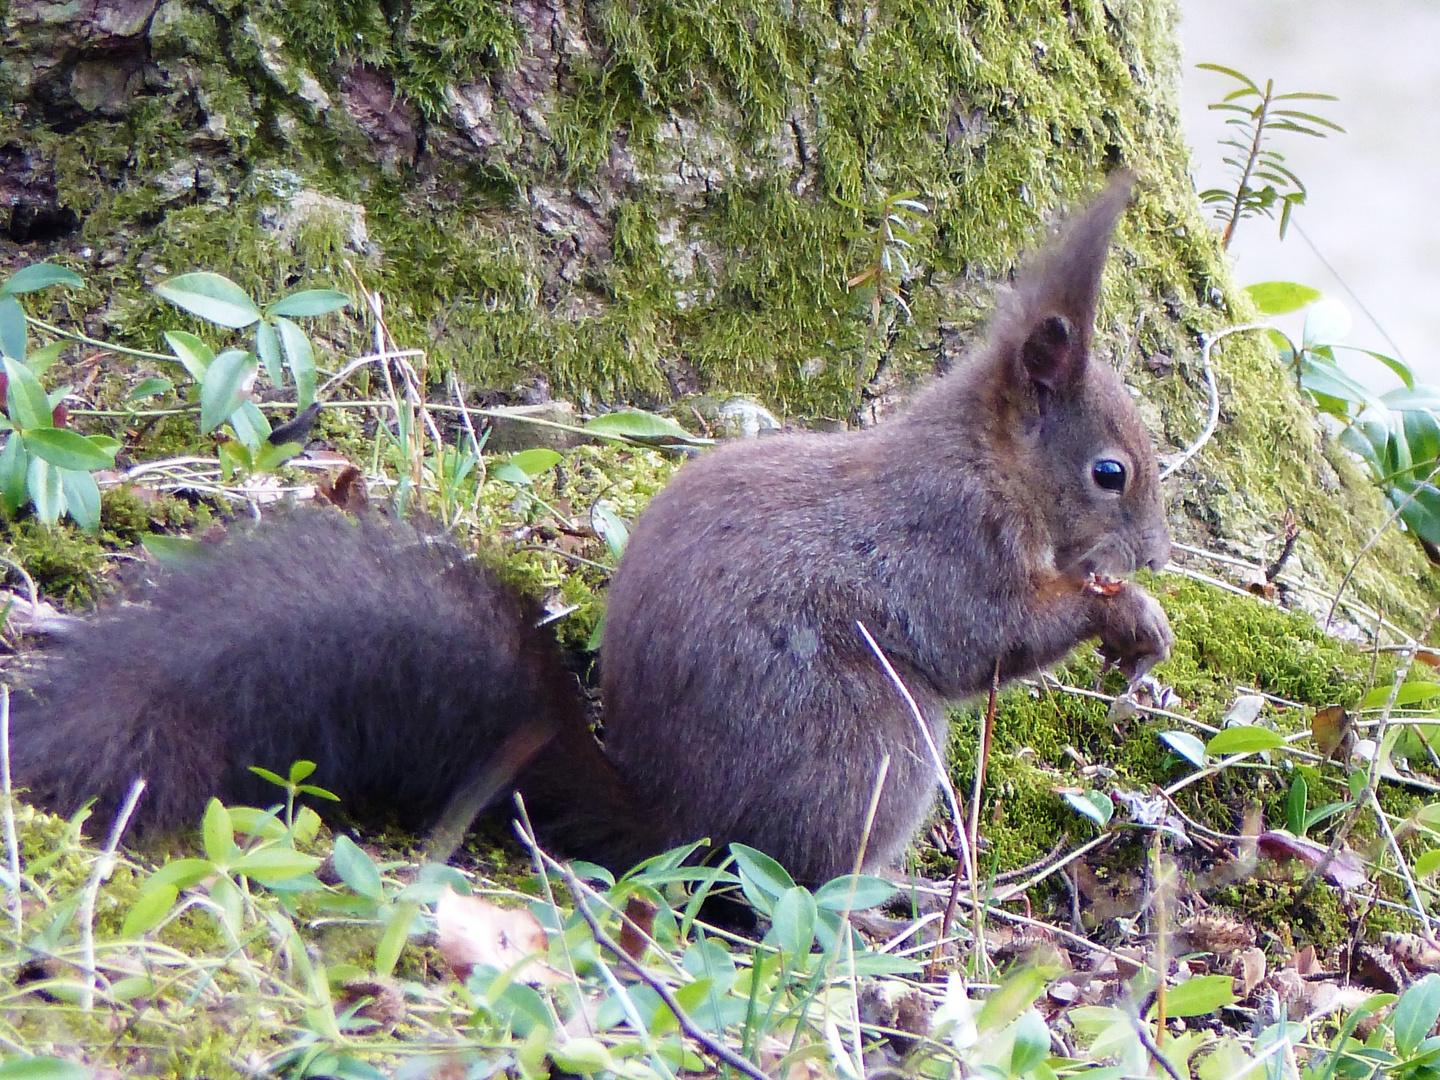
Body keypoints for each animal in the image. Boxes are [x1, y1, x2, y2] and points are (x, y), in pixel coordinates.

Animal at [8, 175, 1169, 887]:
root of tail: (676, 825)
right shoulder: (945, 539)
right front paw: (1126, 616)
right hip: (871, 752)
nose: (1157, 556)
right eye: (1110, 473)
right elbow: (986, 638)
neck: (991, 463)